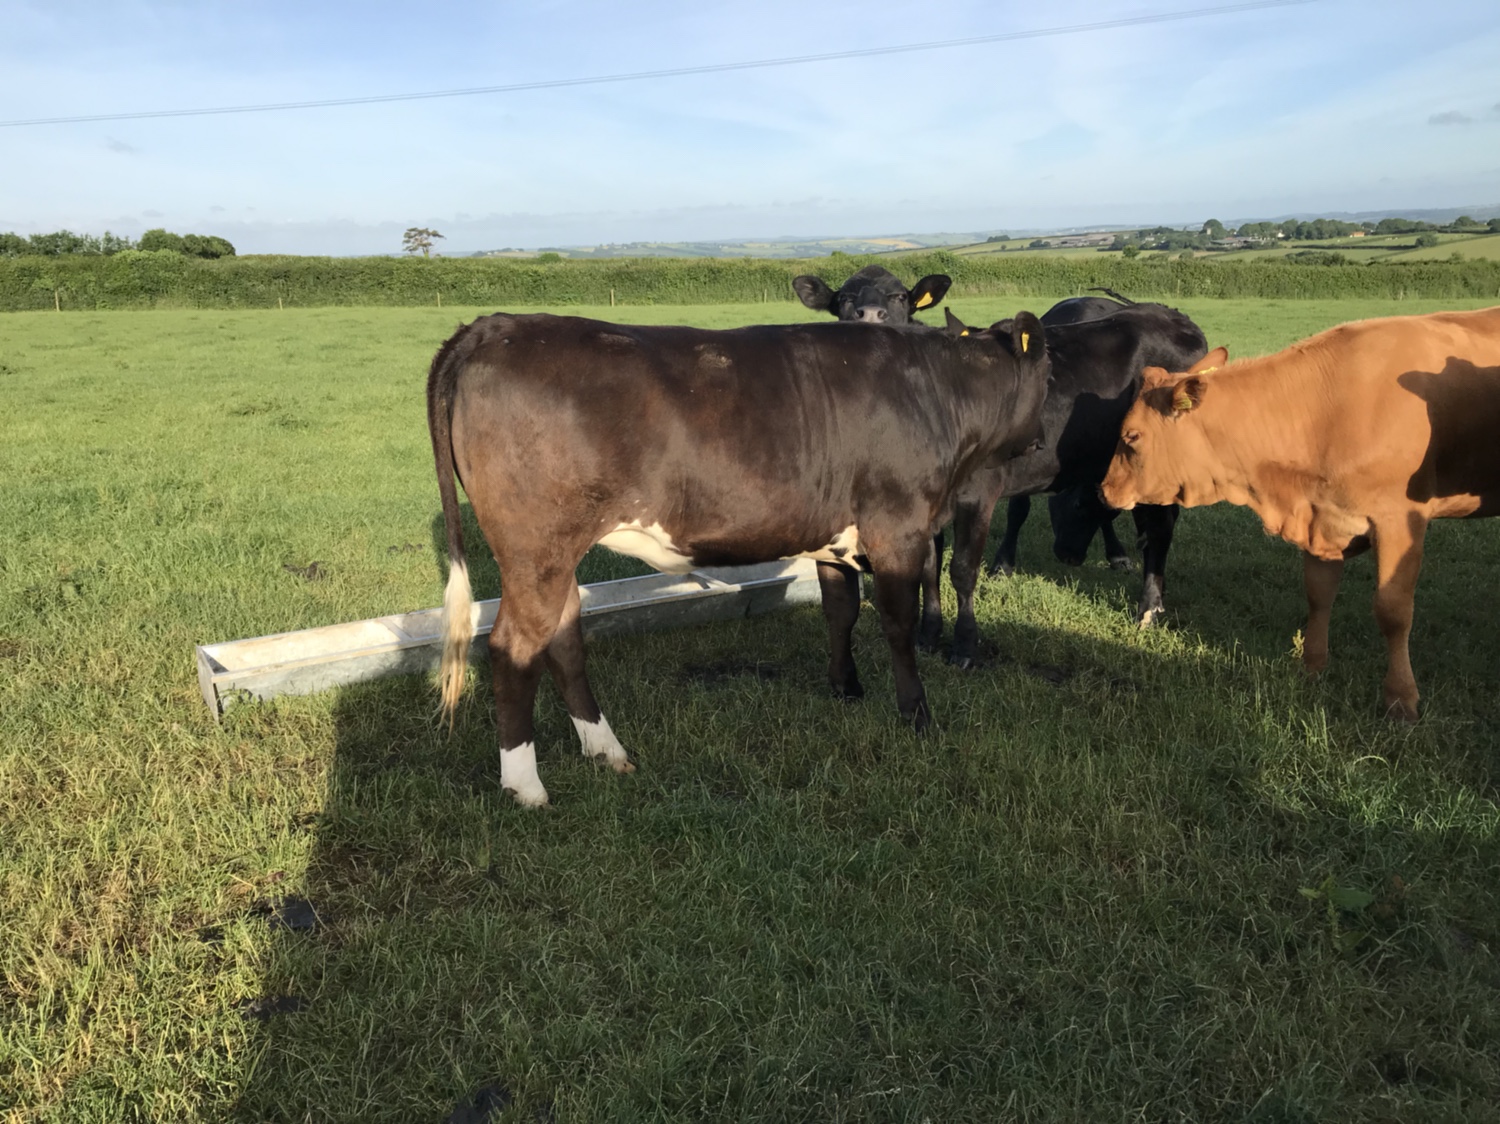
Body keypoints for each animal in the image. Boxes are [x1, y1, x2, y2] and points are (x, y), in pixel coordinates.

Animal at [429, 311, 1051, 806]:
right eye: (1049, 372)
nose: (1045, 437)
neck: (940, 394)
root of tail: (496, 325)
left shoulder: (832, 534)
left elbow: (840, 612)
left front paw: (845, 688)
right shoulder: (898, 529)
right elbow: (897, 625)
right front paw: (916, 715)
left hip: (556, 555)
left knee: (562, 636)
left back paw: (606, 749)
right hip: (536, 548)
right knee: (515, 645)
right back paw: (526, 785)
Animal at [937, 301, 1208, 661]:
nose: (1071, 557)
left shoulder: (978, 494)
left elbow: (963, 568)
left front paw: (965, 646)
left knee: (1161, 528)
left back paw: (1148, 607)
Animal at [1100, 306, 1500, 721]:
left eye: (1131, 437)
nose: (1105, 489)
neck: (1327, 413)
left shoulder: (1400, 521)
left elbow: (1393, 610)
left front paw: (1401, 698)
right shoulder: (1319, 515)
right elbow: (1318, 594)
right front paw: (1312, 668)